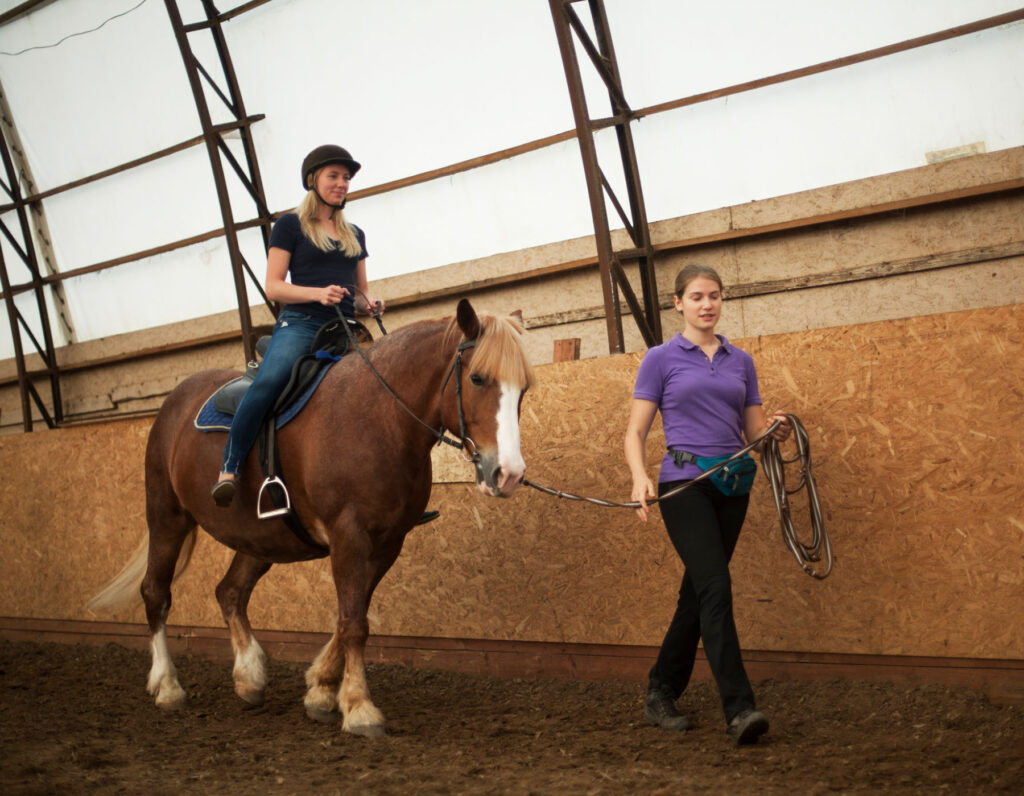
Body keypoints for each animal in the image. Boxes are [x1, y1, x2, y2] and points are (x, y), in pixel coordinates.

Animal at [86, 301, 536, 737]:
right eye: (477, 378)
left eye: (524, 388)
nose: (508, 474)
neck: (380, 418)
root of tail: (174, 401)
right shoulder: (348, 535)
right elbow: (354, 622)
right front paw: (359, 709)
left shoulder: (387, 543)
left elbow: (349, 616)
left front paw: (321, 690)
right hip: (167, 516)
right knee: (155, 593)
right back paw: (168, 686)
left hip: (260, 539)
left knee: (230, 591)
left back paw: (249, 676)